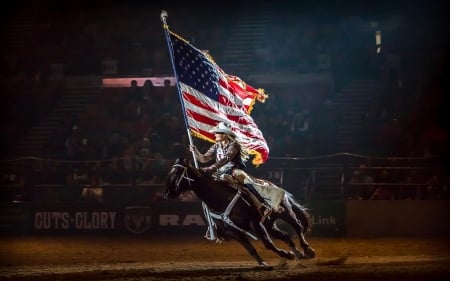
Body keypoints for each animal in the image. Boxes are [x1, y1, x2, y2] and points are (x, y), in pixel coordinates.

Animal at [163, 158, 314, 264]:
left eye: (177, 173)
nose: (167, 193)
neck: (220, 198)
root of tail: (273, 184)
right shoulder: (233, 231)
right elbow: (250, 249)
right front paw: (264, 263)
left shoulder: (255, 223)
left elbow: (268, 243)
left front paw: (287, 254)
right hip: (269, 223)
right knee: (284, 235)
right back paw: (299, 254)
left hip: (286, 212)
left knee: (298, 227)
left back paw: (308, 250)